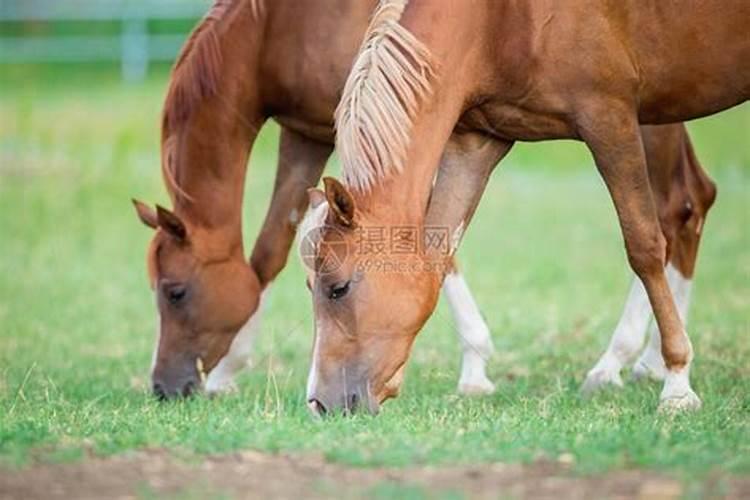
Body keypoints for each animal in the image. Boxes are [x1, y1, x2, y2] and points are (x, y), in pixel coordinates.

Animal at [131, 0, 498, 399]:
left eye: (175, 293)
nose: (163, 387)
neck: (280, 26)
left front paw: (475, 364)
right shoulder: (305, 135)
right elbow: (269, 252)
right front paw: (226, 373)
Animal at [305, 0, 746, 415]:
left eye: (338, 288)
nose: (319, 404)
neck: (498, 18)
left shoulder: (610, 118)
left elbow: (644, 246)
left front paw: (678, 384)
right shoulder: (476, 143)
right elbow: (440, 252)